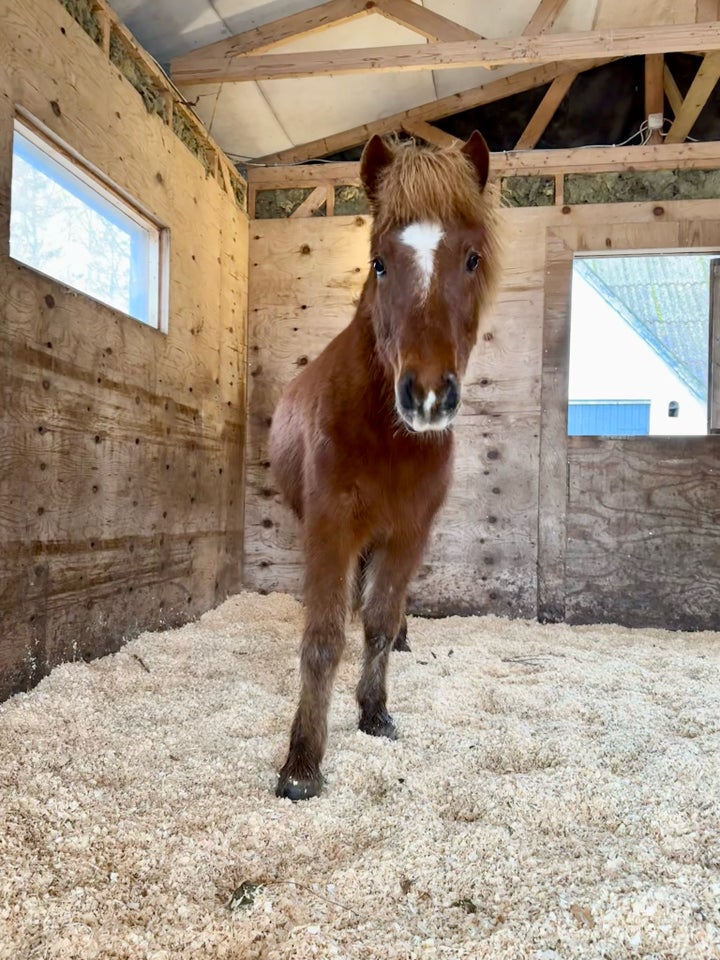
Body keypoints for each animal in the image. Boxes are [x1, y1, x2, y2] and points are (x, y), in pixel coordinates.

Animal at [268, 129, 498, 804]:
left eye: (471, 259)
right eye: (379, 263)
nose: (426, 395)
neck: (387, 435)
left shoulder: (408, 534)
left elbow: (377, 620)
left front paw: (374, 712)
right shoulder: (331, 527)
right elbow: (323, 638)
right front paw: (302, 764)